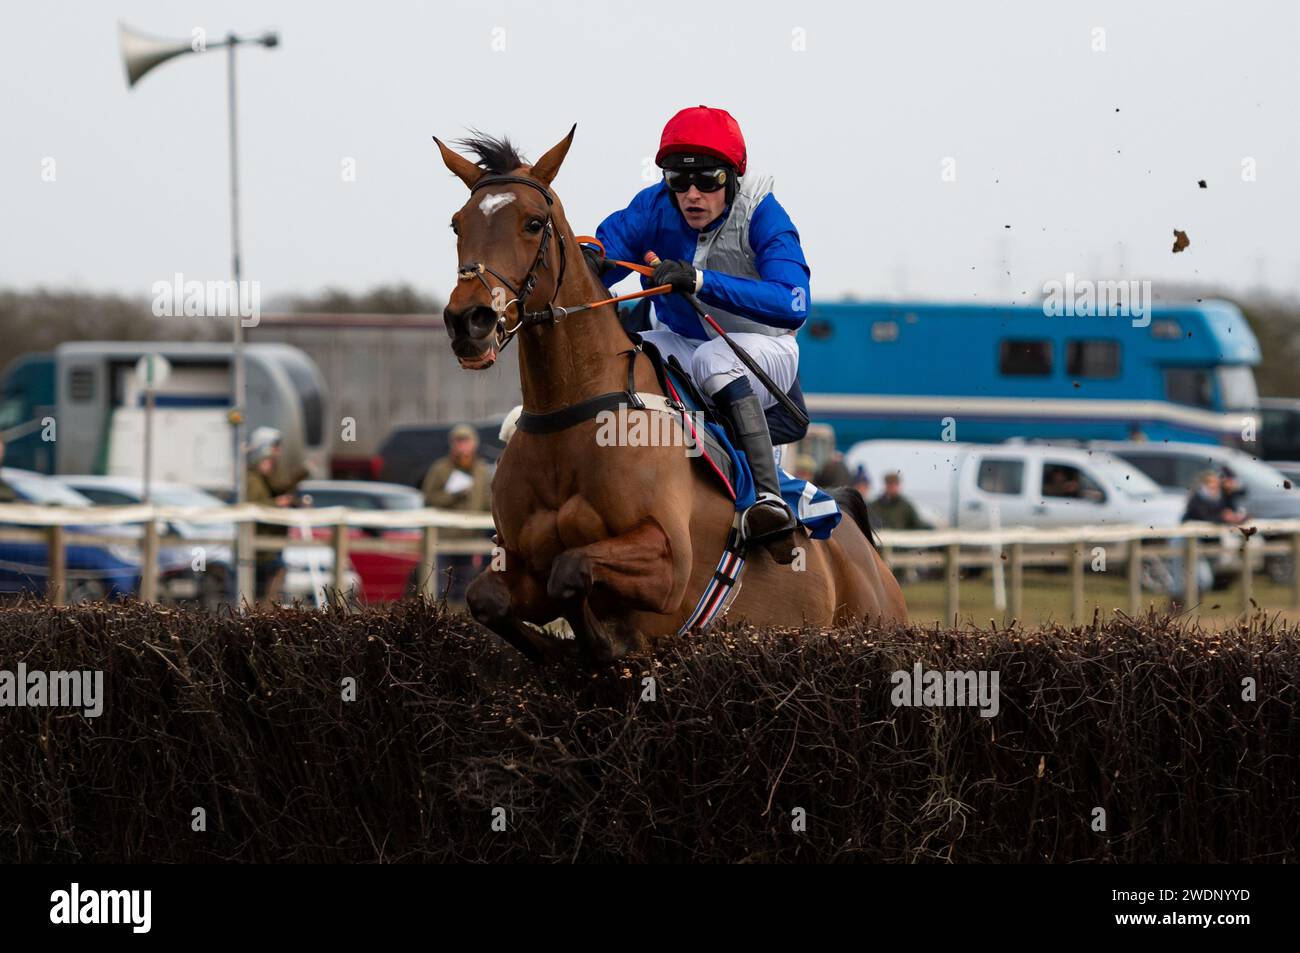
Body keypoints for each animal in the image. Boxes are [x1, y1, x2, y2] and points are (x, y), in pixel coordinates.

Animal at [434, 126, 904, 660]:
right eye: (457, 224)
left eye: (533, 223)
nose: (469, 321)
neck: (572, 412)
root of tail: (863, 551)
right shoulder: (519, 561)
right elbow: (488, 596)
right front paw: (566, 648)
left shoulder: (668, 564)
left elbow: (572, 570)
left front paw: (606, 643)